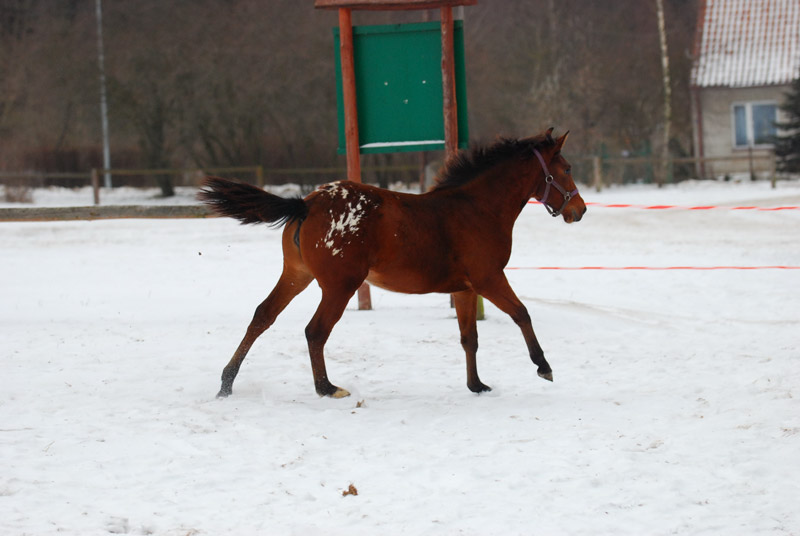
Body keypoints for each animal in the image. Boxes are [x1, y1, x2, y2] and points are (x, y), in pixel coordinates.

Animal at [198, 129, 588, 398]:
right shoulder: (488, 278)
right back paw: (327, 388)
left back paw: (226, 383)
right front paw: (544, 367)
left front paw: (476, 385)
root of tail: (306, 203)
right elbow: (522, 313)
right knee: (315, 331)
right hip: (340, 285)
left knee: (262, 316)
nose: (579, 210)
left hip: (297, 275)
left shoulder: (464, 289)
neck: (477, 208)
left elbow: (469, 338)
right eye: (566, 168)